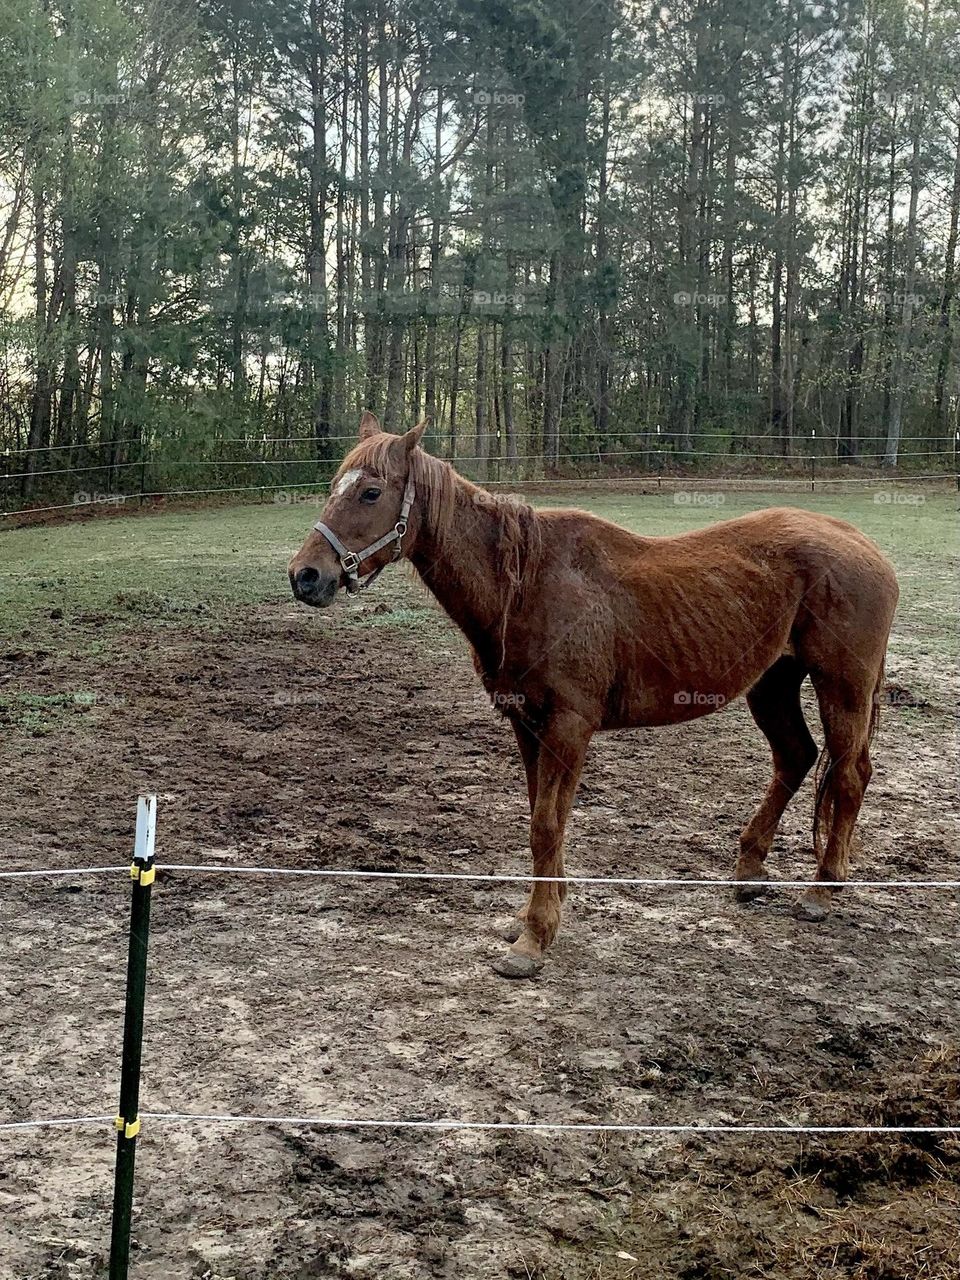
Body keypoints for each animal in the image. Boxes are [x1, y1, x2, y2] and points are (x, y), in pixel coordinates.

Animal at [288, 414, 901, 972]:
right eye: (337, 485)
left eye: (371, 492)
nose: (306, 576)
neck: (527, 584)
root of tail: (863, 543)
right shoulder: (528, 724)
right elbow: (542, 817)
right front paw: (539, 912)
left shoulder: (568, 727)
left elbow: (546, 825)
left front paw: (533, 939)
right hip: (772, 685)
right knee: (796, 757)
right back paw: (749, 871)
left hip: (841, 686)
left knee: (848, 775)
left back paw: (822, 890)